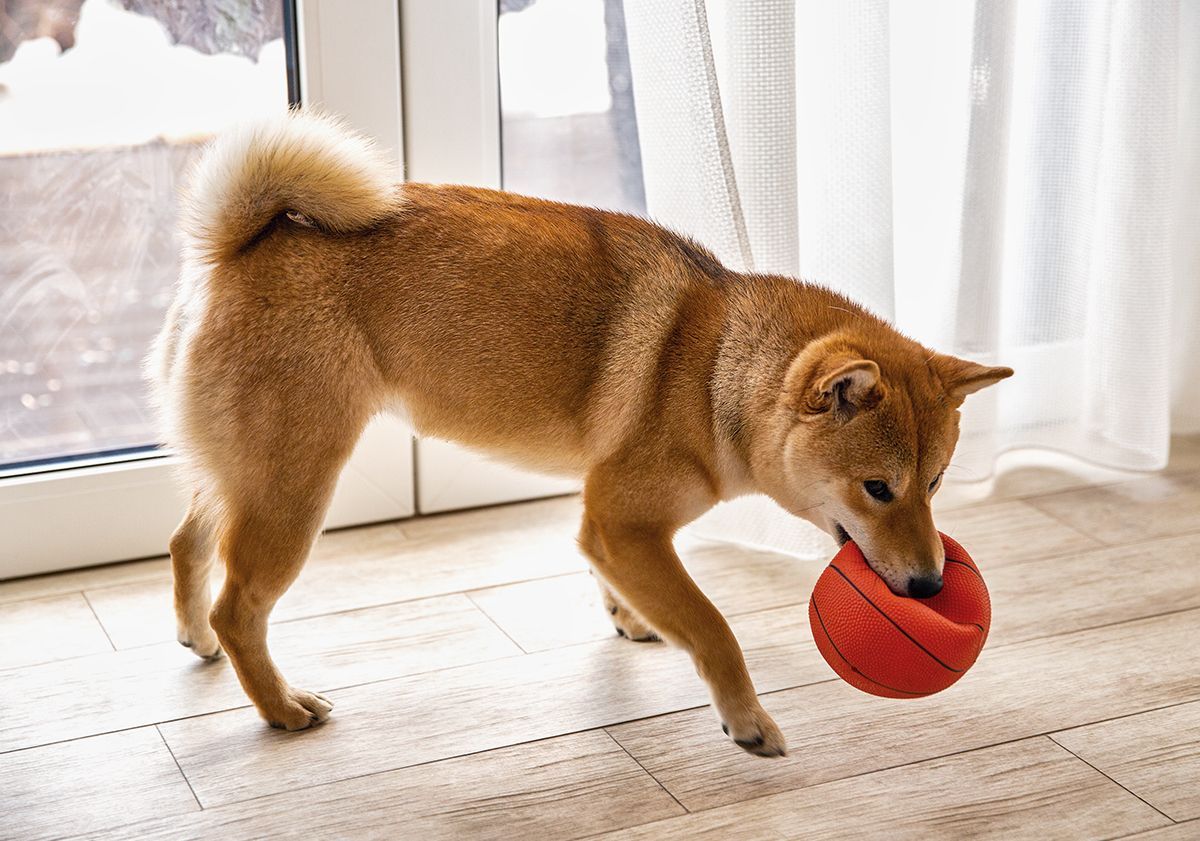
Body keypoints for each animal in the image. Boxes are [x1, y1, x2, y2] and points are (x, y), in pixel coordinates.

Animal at [150, 107, 1012, 758]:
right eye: (878, 488)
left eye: (935, 483)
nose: (931, 585)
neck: (712, 372)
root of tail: (242, 245)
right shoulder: (624, 522)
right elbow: (714, 627)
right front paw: (747, 719)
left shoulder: (607, 523)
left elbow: (623, 583)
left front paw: (629, 616)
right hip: (294, 488)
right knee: (239, 607)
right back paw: (279, 705)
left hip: (247, 475)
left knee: (186, 543)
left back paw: (193, 638)